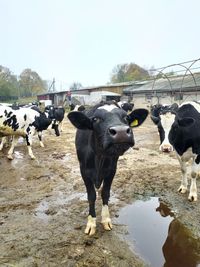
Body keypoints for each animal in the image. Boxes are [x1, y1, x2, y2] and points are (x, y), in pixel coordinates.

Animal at [68, 101, 148, 236]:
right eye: (95, 119)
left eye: (126, 117)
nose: (121, 132)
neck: (99, 158)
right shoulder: (84, 171)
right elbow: (91, 196)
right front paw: (91, 223)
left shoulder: (111, 170)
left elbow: (105, 193)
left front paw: (106, 220)